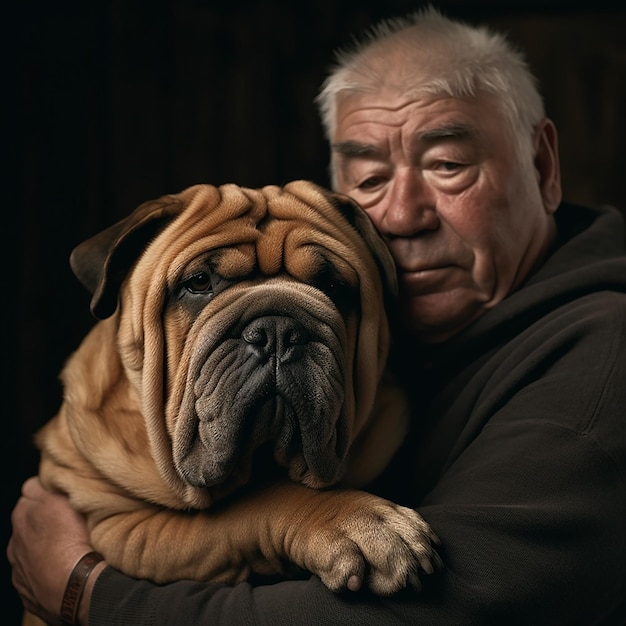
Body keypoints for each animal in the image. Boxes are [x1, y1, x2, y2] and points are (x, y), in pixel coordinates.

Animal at [30, 180, 438, 608]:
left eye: (333, 286)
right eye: (198, 283)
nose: (278, 330)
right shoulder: (125, 525)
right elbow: (259, 502)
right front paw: (358, 522)